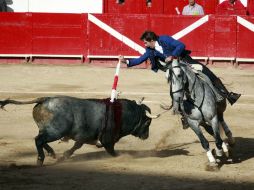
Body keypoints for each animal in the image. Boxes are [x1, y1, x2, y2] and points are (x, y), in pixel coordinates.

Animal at [0, 95, 159, 166]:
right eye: (148, 122)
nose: (146, 136)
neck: (121, 113)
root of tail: (45, 99)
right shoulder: (107, 139)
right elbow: (111, 150)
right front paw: (121, 157)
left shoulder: (84, 136)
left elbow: (76, 146)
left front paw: (65, 155)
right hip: (55, 132)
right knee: (39, 140)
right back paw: (41, 160)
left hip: (48, 131)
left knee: (40, 140)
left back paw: (52, 154)